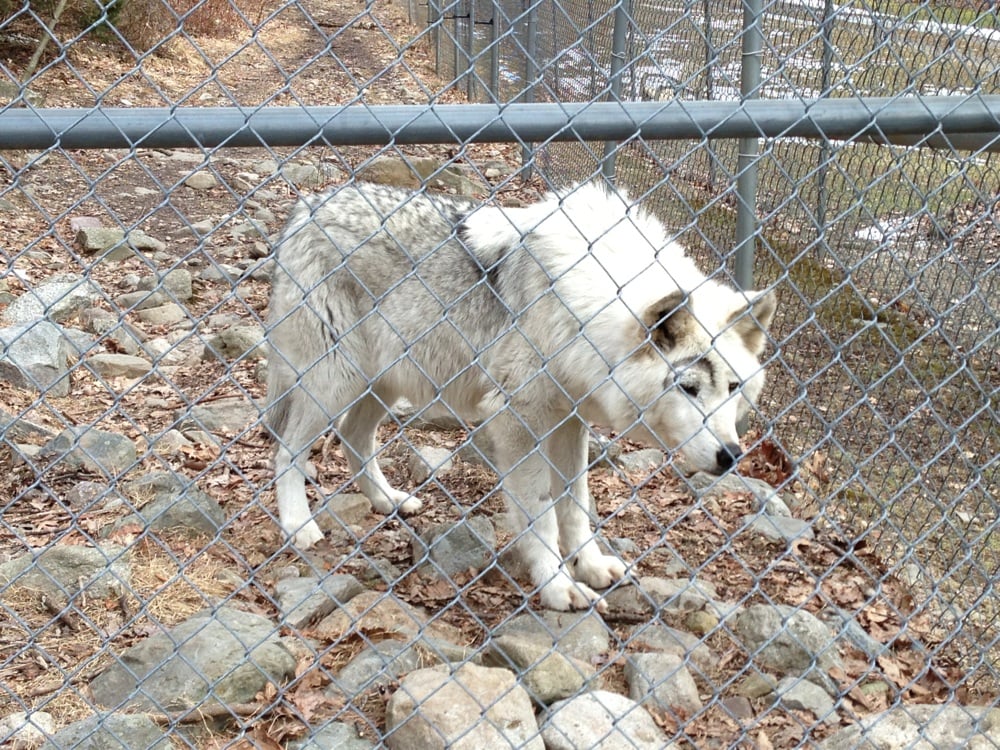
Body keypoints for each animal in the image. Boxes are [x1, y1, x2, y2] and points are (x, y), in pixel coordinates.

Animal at [265, 182, 776, 611]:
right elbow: (541, 514)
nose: (732, 455)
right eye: (688, 388)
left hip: (382, 384)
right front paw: (557, 585)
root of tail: (305, 209)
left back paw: (387, 500)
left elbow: (576, 504)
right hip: (335, 382)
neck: (585, 310)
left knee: (354, 439)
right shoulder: (519, 420)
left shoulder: (570, 420)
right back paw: (298, 527)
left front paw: (590, 566)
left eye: (733, 388)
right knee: (287, 451)